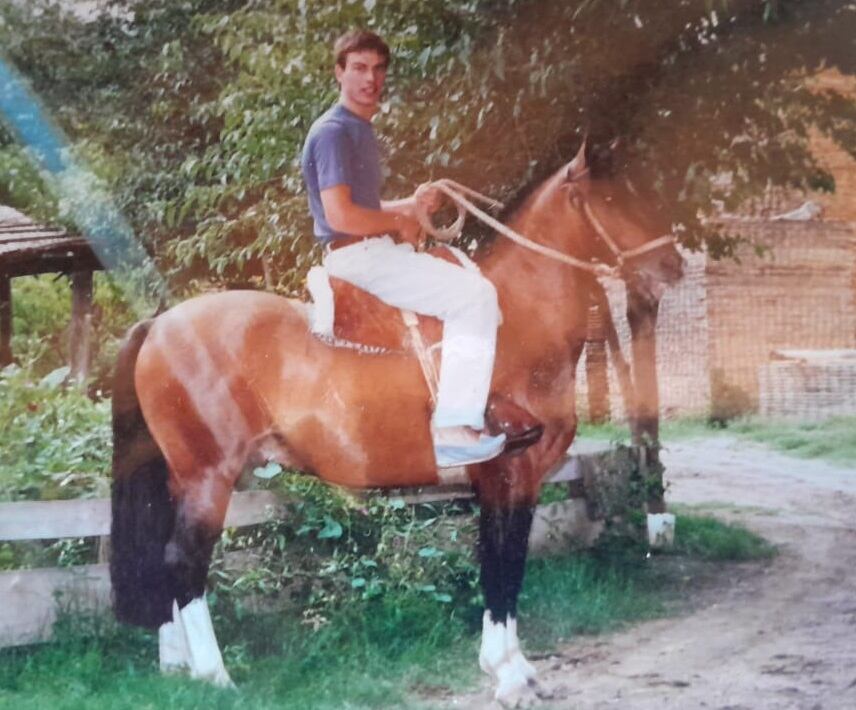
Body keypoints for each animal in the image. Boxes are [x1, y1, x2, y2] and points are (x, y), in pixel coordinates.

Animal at [108, 143, 684, 708]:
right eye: (611, 198)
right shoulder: (507, 473)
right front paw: (507, 676)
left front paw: (516, 669)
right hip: (209, 478)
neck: (518, 322)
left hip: (181, 479)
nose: (672, 264)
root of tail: (158, 323)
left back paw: (177, 667)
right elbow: (501, 564)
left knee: (163, 558)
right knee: (184, 561)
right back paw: (213, 675)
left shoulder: (520, 481)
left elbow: (508, 563)